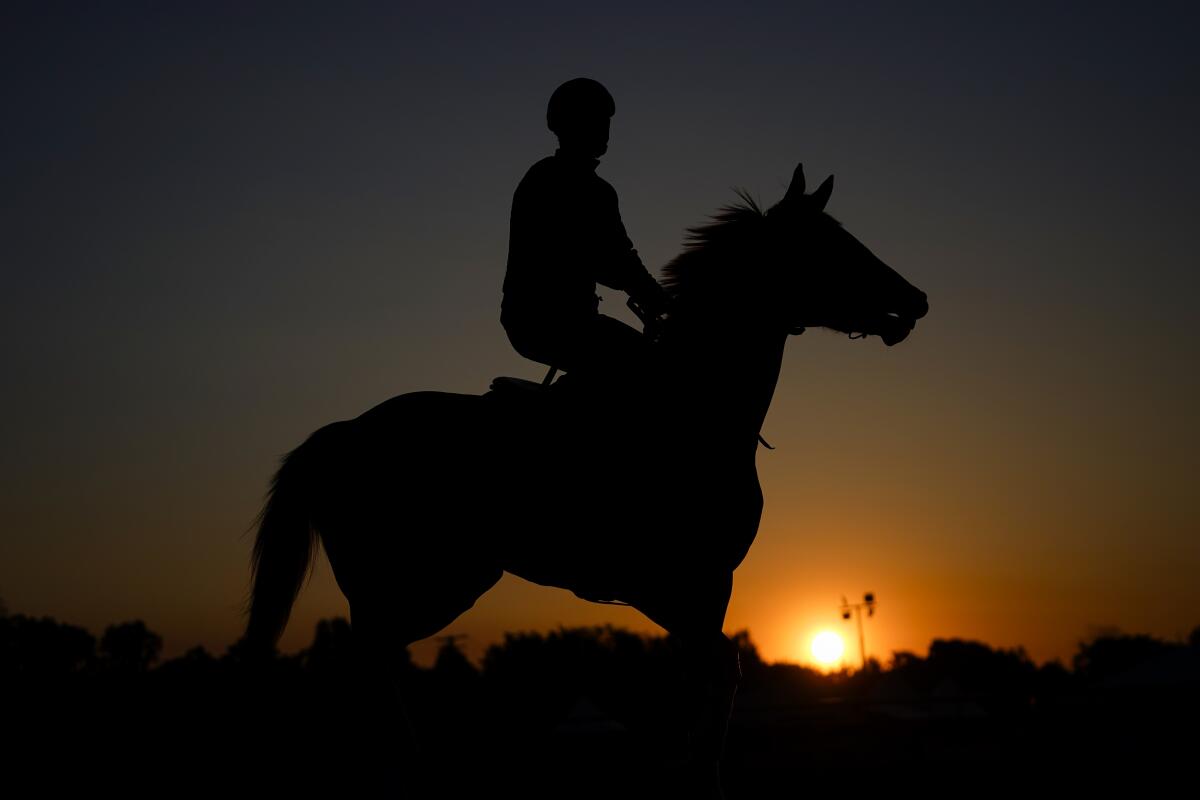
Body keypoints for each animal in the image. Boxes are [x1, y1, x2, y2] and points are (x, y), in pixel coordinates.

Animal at [243, 163, 926, 796]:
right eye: (831, 244)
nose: (916, 300)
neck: (696, 406)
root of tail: (339, 434)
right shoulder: (670, 583)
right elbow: (720, 669)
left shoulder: (704, 588)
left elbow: (707, 680)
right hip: (419, 583)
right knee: (366, 663)